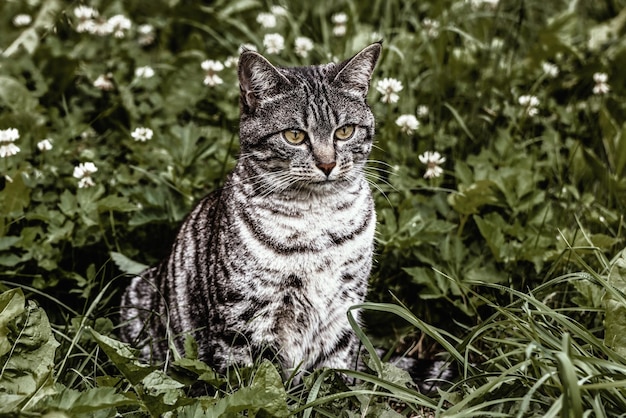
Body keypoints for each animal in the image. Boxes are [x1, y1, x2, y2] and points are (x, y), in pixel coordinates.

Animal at [117, 44, 380, 380]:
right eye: (294, 136)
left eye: (345, 131)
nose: (327, 164)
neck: (317, 218)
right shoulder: (244, 319)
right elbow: (255, 379)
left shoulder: (343, 313)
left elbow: (335, 378)